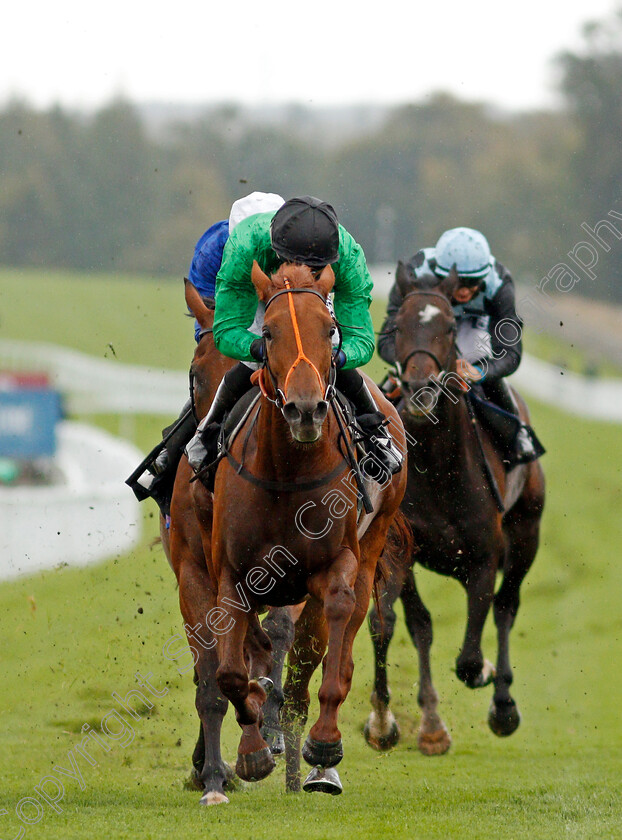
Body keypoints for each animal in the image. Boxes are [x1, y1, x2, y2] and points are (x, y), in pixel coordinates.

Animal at [168, 266, 410, 804]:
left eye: (330, 329)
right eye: (270, 333)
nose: (305, 410)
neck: (286, 471)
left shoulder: (334, 567)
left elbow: (323, 656)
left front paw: (321, 744)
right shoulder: (218, 574)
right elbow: (225, 675)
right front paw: (241, 758)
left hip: (368, 550)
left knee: (321, 658)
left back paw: (315, 764)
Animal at [366, 268, 544, 756]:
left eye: (448, 328)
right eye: (396, 327)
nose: (420, 391)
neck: (439, 469)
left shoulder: (483, 558)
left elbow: (468, 657)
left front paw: (485, 674)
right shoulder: (397, 550)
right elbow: (401, 624)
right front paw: (398, 723)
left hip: (527, 533)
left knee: (506, 607)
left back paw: (503, 704)